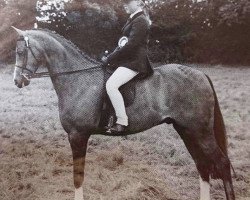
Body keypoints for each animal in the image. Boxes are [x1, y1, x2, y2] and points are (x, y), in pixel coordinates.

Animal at [11, 27, 234, 200]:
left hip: (201, 132)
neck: (78, 79)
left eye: (21, 51)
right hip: (187, 130)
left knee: (222, 164)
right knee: (202, 166)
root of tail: (201, 74)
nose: (17, 81)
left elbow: (78, 176)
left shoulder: (77, 135)